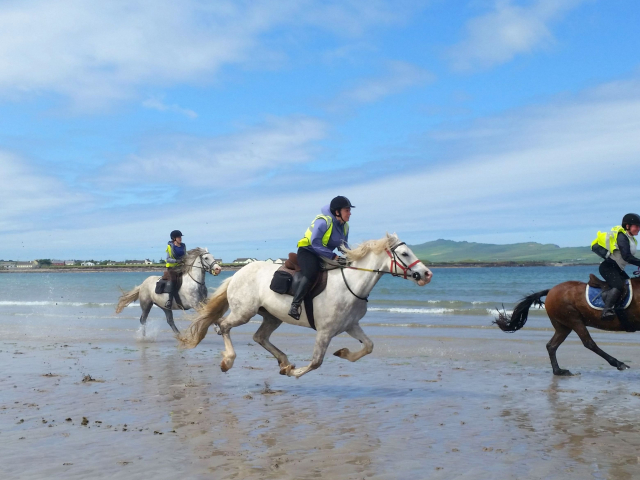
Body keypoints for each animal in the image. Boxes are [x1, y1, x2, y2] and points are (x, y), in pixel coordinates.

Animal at [178, 233, 432, 378]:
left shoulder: (351, 326)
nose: (427, 274)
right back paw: (229, 361)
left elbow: (368, 346)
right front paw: (295, 372)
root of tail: (237, 274)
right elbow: (316, 362)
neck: (352, 284)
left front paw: (343, 353)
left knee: (259, 337)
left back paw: (283, 362)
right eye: (404, 253)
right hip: (244, 312)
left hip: (272, 316)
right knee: (223, 326)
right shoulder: (325, 332)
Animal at [496, 274, 640, 376]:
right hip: (574, 320)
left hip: (563, 326)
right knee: (589, 343)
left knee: (551, 346)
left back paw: (558, 371)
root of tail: (551, 290)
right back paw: (619, 363)